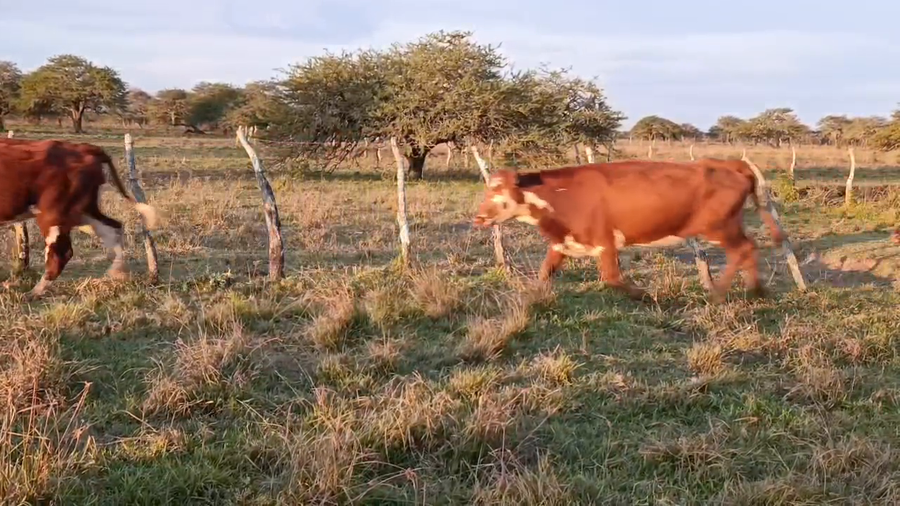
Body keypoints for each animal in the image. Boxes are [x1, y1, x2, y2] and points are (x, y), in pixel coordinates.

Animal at [0, 138, 159, 299]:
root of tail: (85, 148)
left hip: (54, 214)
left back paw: (33, 292)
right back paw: (117, 272)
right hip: (84, 212)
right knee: (113, 228)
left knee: (61, 254)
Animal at [471, 159, 786, 302]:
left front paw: (647, 296)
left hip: (719, 227)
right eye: (487, 190)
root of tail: (727, 162)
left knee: (743, 250)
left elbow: (612, 279)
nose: (478, 217)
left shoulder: (604, 242)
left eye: (498, 191)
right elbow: (543, 273)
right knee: (749, 248)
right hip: (728, 225)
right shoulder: (563, 243)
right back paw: (755, 289)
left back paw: (721, 291)